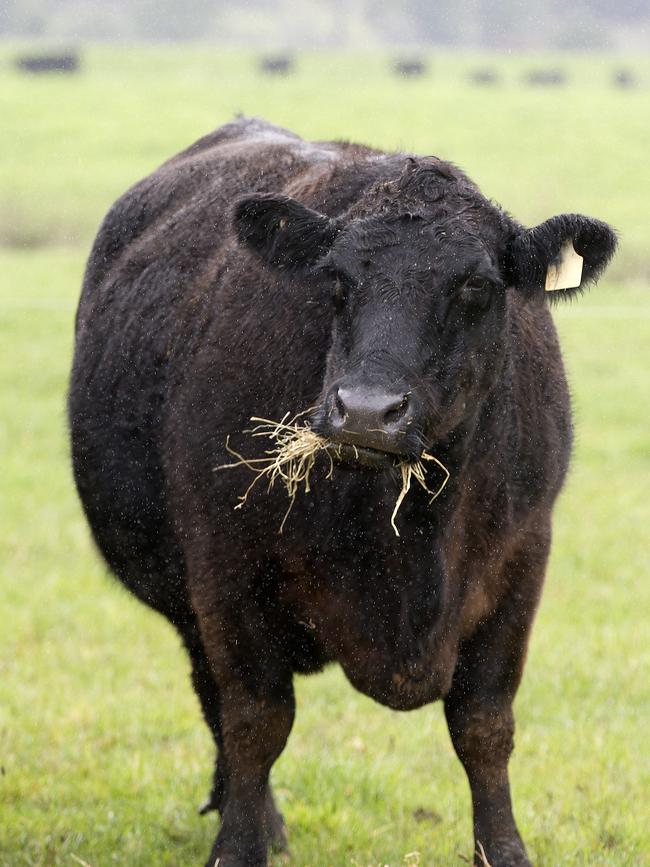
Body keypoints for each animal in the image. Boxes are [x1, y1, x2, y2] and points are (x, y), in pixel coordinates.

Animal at [68, 117, 616, 867]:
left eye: (477, 286)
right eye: (336, 278)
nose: (365, 410)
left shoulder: (521, 559)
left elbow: (484, 724)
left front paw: (503, 850)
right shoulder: (225, 569)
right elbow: (256, 719)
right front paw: (240, 845)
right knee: (216, 697)